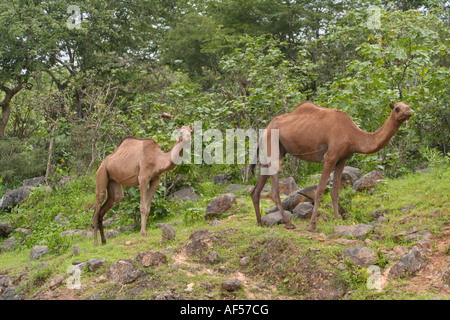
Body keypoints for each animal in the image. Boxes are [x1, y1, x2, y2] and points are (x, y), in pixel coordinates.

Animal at [251, 101, 414, 231]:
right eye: (397, 108)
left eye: (408, 105)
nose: (409, 111)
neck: (354, 136)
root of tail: (265, 129)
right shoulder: (330, 157)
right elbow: (320, 190)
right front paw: (312, 226)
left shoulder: (342, 159)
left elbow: (335, 191)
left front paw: (336, 220)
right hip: (273, 145)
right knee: (274, 190)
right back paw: (289, 223)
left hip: (275, 151)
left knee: (256, 189)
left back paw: (260, 222)